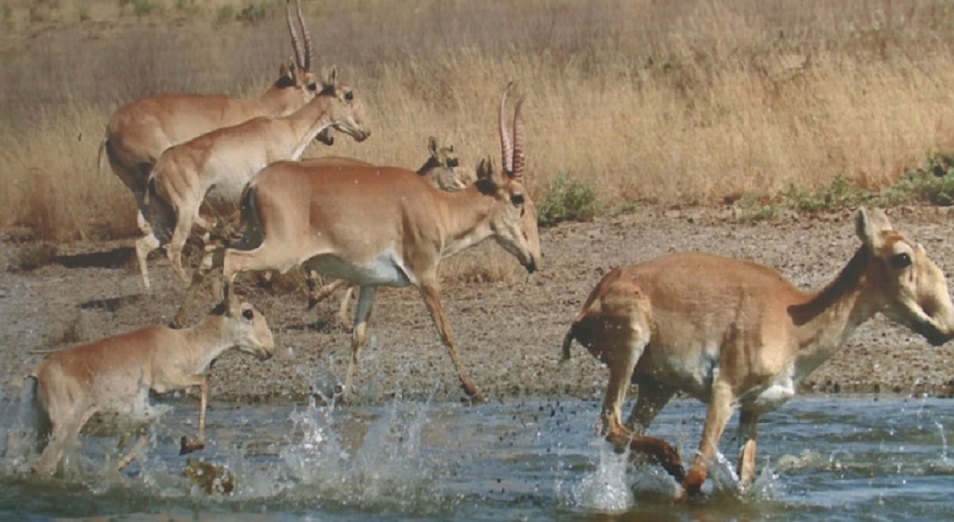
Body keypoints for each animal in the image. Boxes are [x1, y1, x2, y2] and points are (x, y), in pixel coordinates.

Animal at [29, 296, 274, 476]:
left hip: (45, 430)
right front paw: (189, 444)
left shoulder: (143, 418)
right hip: (65, 428)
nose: (271, 348)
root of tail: (40, 370)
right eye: (248, 312)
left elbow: (139, 444)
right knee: (41, 467)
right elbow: (204, 382)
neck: (185, 343)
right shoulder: (165, 382)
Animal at [98, 0, 324, 236]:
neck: (258, 107)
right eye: (312, 85)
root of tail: (111, 129)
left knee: (146, 221)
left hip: (137, 185)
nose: (329, 136)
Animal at [136, 68, 370, 288]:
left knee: (143, 245)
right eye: (348, 94)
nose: (365, 131)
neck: (285, 127)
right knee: (174, 248)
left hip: (167, 216)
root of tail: (158, 168)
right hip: (185, 211)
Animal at [191, 83, 540, 400]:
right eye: (518, 198)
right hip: (279, 254)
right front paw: (473, 389)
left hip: (252, 236)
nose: (535, 258)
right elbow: (446, 331)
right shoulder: (426, 277)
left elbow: (357, 338)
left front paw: (346, 395)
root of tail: (256, 182)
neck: (436, 205)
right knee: (231, 260)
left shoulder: (370, 283)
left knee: (210, 255)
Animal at [560, 207, 952, 496]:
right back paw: (671, 457)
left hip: (659, 386)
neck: (795, 324)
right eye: (902, 257)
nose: (945, 327)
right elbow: (698, 475)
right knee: (609, 423)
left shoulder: (753, 409)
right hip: (631, 343)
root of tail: (594, 298)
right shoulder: (724, 392)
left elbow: (744, 479)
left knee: (624, 437)